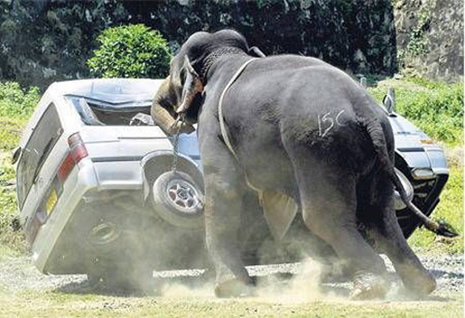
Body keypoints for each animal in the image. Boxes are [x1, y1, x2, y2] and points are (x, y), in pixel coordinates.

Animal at [150, 28, 452, 300]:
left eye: (172, 71)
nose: (176, 120)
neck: (225, 56)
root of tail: (366, 112)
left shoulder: (212, 123)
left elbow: (224, 188)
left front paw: (229, 289)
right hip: (379, 151)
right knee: (380, 213)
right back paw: (420, 286)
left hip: (319, 147)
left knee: (323, 215)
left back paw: (370, 289)